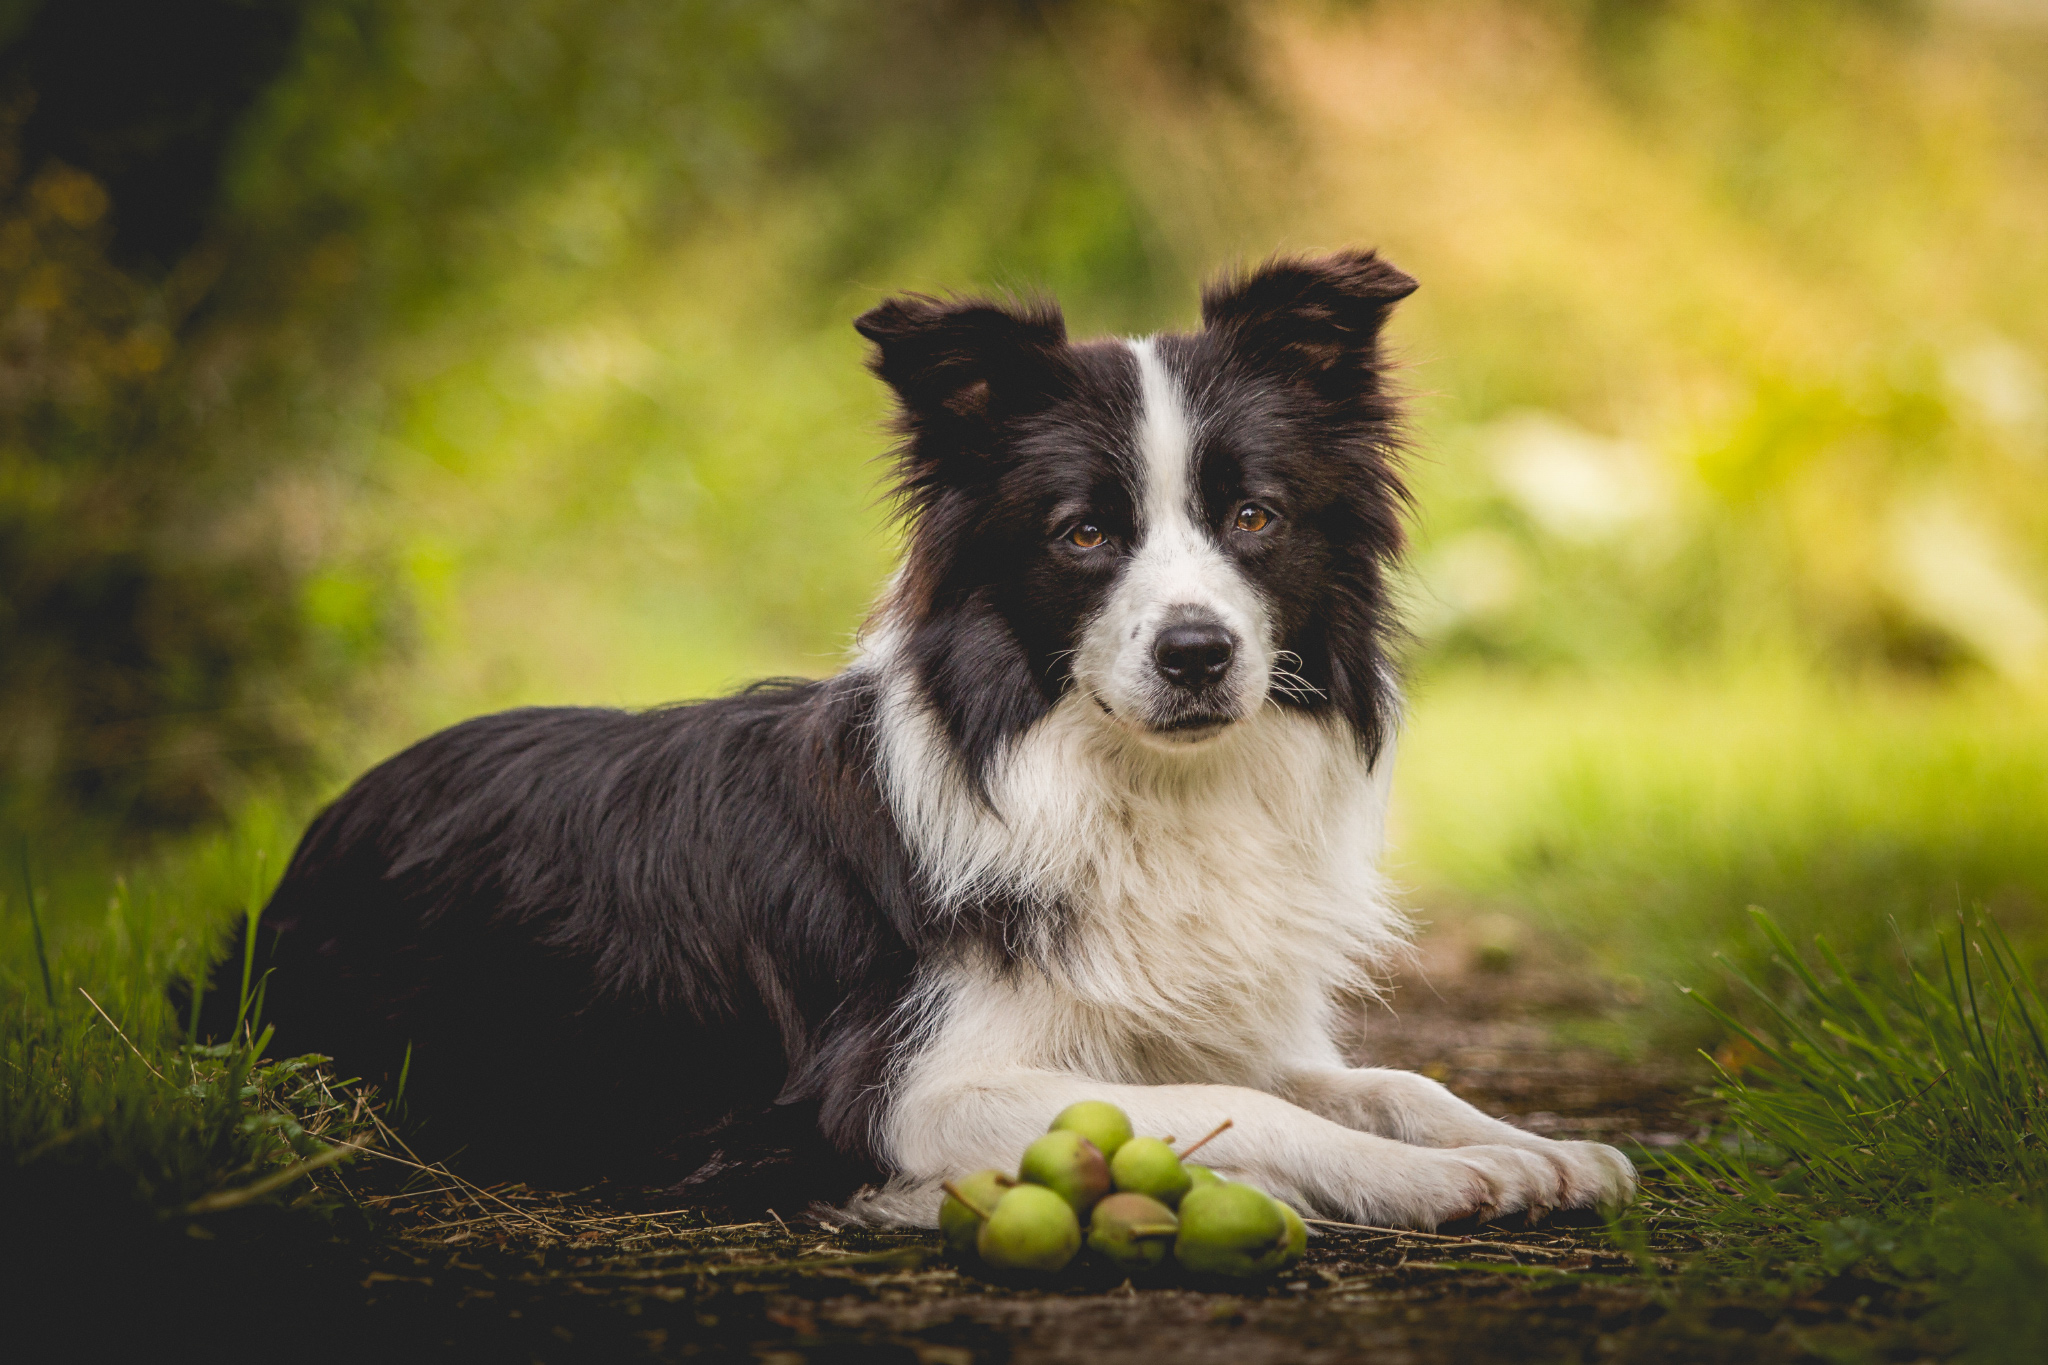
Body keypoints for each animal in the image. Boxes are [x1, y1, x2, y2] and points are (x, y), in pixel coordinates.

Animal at [232, 253, 1630, 1227]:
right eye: (1081, 534)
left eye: (1254, 516)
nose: (1195, 654)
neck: (1129, 783)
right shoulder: (913, 1091)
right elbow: (1230, 1107)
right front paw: (1425, 1182)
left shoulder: (1187, 1019)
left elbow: (1380, 1081)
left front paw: (1527, 1147)